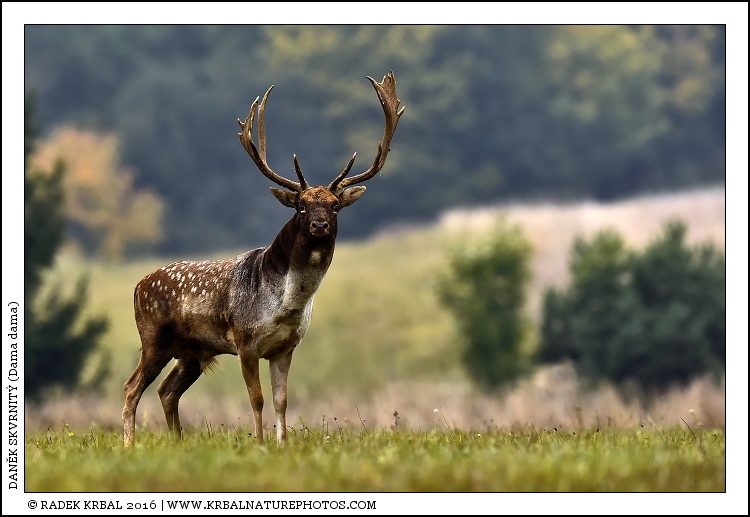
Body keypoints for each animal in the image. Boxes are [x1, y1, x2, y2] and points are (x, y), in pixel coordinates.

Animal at [122, 71, 404, 447]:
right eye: (301, 206)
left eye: (334, 206)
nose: (319, 225)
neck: (284, 306)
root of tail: (138, 287)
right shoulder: (245, 341)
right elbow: (255, 398)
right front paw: (258, 442)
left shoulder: (285, 347)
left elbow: (281, 399)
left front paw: (282, 443)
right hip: (154, 338)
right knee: (131, 388)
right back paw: (130, 444)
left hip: (192, 352)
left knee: (167, 390)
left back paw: (178, 441)